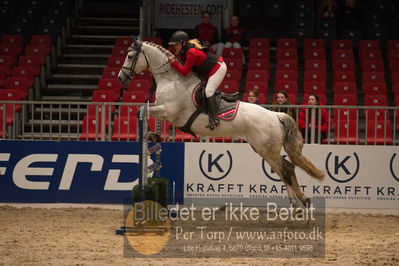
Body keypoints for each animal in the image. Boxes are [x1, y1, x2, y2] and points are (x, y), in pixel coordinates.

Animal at [118, 39, 324, 208]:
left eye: (130, 56)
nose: (120, 77)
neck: (171, 80)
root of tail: (275, 115)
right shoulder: (163, 110)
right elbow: (148, 113)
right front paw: (154, 136)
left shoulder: (169, 111)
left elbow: (143, 111)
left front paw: (148, 139)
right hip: (264, 149)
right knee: (287, 168)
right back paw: (303, 199)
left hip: (267, 150)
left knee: (285, 169)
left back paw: (296, 203)